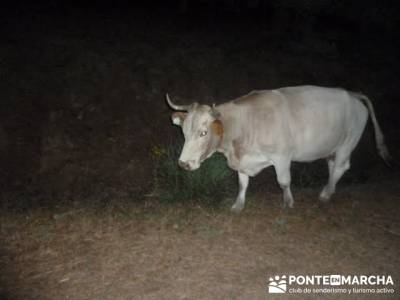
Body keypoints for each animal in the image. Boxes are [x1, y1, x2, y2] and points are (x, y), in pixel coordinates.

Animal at [166, 85, 390, 212]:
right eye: (184, 132)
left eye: (203, 133)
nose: (183, 164)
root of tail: (352, 94)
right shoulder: (243, 159)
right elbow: (242, 183)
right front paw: (238, 205)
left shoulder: (282, 156)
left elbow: (283, 182)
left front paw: (288, 203)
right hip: (332, 146)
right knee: (333, 166)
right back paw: (329, 189)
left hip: (347, 142)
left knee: (341, 167)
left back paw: (325, 194)